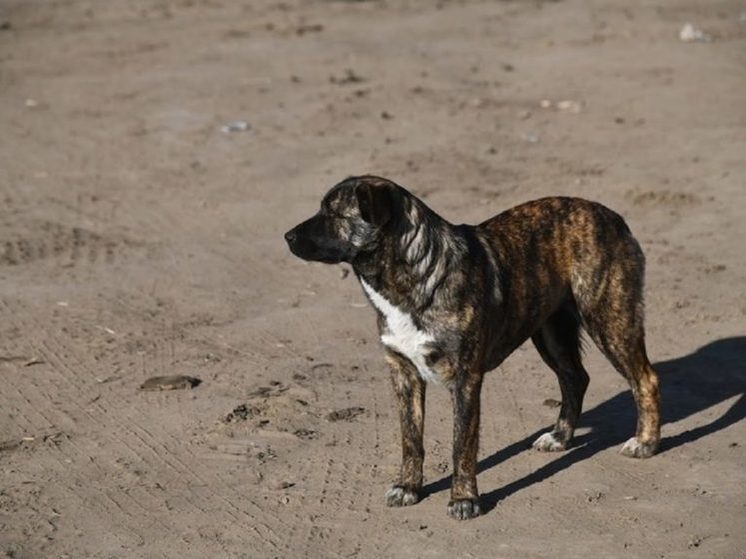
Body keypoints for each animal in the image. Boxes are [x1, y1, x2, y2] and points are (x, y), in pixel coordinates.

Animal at [282, 175, 660, 520]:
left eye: (333, 213)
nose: (287, 237)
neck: (414, 276)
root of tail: (613, 217)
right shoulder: (403, 372)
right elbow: (411, 440)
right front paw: (408, 487)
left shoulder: (465, 379)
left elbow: (461, 445)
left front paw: (464, 499)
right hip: (550, 332)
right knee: (575, 378)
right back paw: (560, 437)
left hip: (609, 321)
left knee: (645, 379)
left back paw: (645, 442)